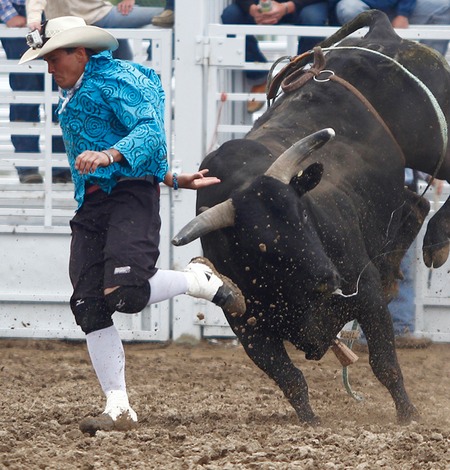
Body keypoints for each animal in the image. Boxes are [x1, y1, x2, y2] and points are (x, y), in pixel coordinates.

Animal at [171, 11, 450, 424]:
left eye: (304, 215)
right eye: (264, 246)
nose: (329, 278)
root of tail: (384, 33)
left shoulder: (364, 294)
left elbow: (384, 363)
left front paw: (407, 415)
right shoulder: (248, 327)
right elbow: (290, 378)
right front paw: (310, 420)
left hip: (434, 143)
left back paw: (436, 241)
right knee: (417, 205)